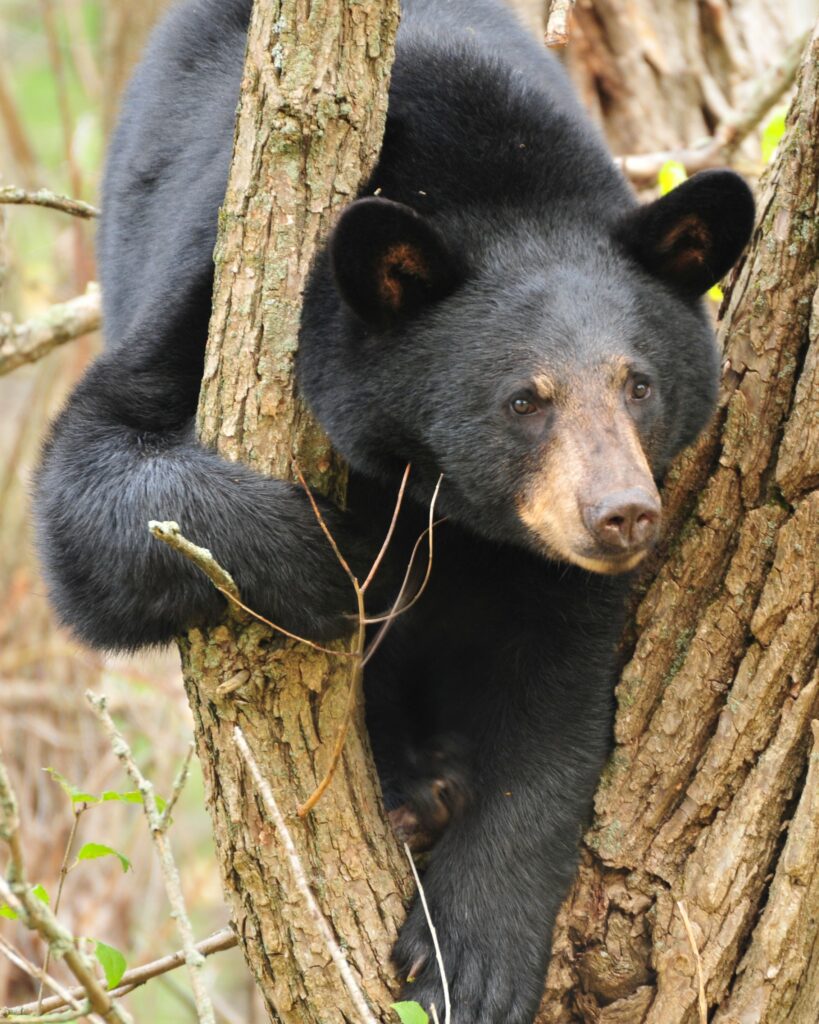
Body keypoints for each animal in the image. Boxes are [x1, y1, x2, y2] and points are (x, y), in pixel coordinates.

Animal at [34, 0, 755, 1020]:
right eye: (522, 399)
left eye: (638, 384)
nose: (620, 515)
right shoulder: (212, 284)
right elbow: (90, 491)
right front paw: (336, 561)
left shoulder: (550, 556)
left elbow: (557, 694)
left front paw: (473, 956)